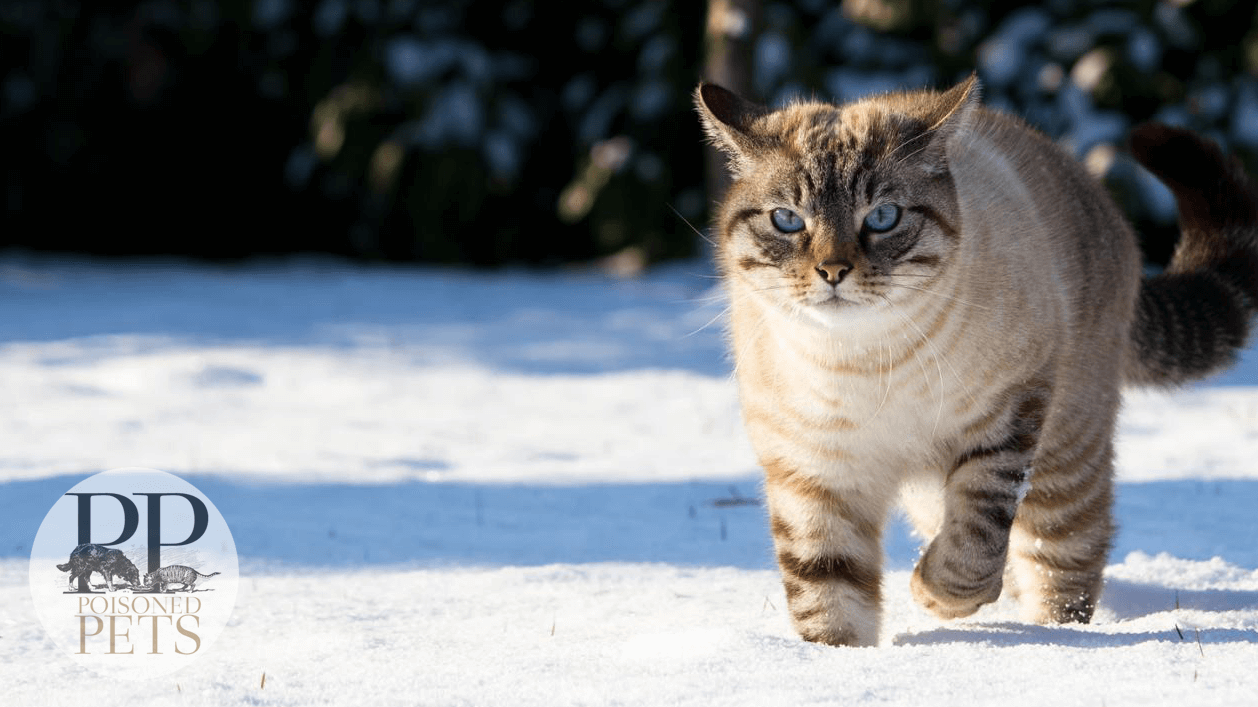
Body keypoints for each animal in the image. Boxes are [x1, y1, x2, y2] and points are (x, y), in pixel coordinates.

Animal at [694, 72, 1258, 644]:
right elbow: (828, 594)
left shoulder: (1004, 424)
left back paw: (1056, 639)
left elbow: (973, 546)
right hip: (930, 491)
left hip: (1062, 464)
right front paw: (838, 659)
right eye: (787, 220)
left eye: (883, 217)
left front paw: (933, 594)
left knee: (1067, 561)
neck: (864, 364)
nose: (833, 271)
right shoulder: (814, 474)